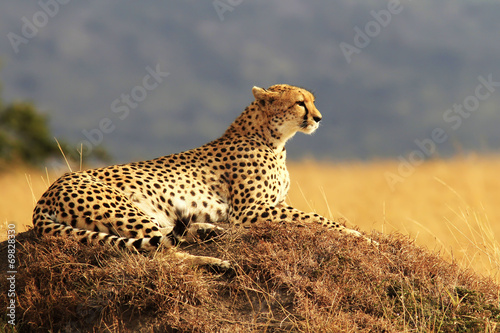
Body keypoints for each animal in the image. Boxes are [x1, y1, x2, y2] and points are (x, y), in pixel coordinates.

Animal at [32, 83, 376, 268]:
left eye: (313, 101)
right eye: (300, 103)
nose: (319, 118)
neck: (273, 139)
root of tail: (46, 194)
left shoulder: (266, 207)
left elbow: (311, 216)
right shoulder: (250, 211)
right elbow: (316, 218)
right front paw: (360, 236)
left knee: (168, 237)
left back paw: (210, 233)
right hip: (126, 209)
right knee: (161, 252)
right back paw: (216, 262)